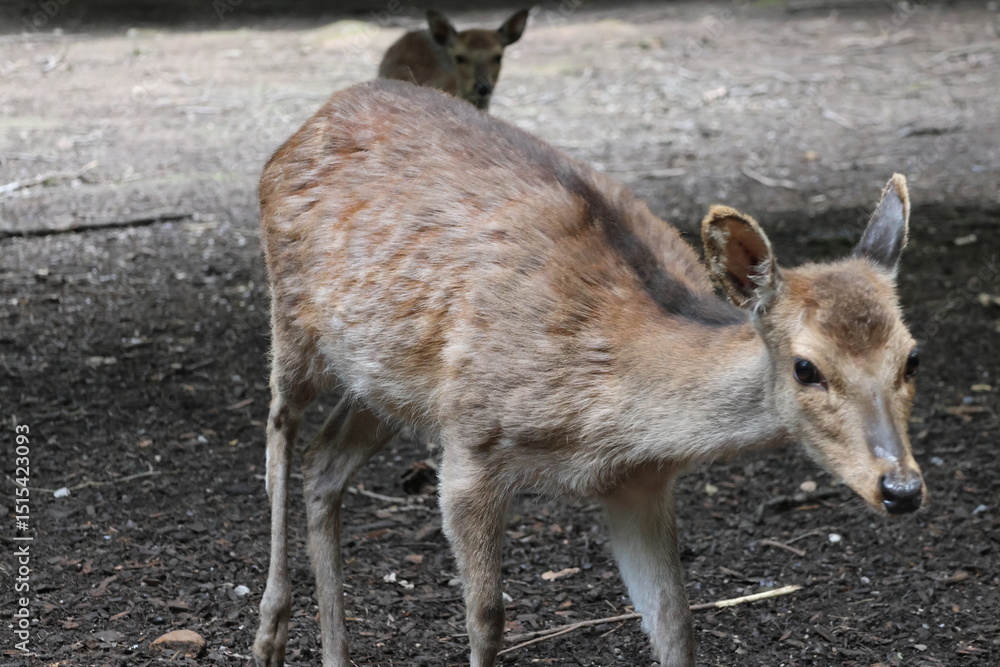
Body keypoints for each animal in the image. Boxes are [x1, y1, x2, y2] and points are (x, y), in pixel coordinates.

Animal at [251, 79, 926, 667]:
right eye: (806, 367)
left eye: (912, 357)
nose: (901, 489)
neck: (605, 422)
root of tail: (310, 121)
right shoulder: (471, 440)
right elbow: (486, 618)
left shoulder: (640, 485)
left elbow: (676, 621)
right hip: (292, 316)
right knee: (280, 429)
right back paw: (269, 632)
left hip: (385, 380)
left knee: (324, 461)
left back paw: (335, 653)